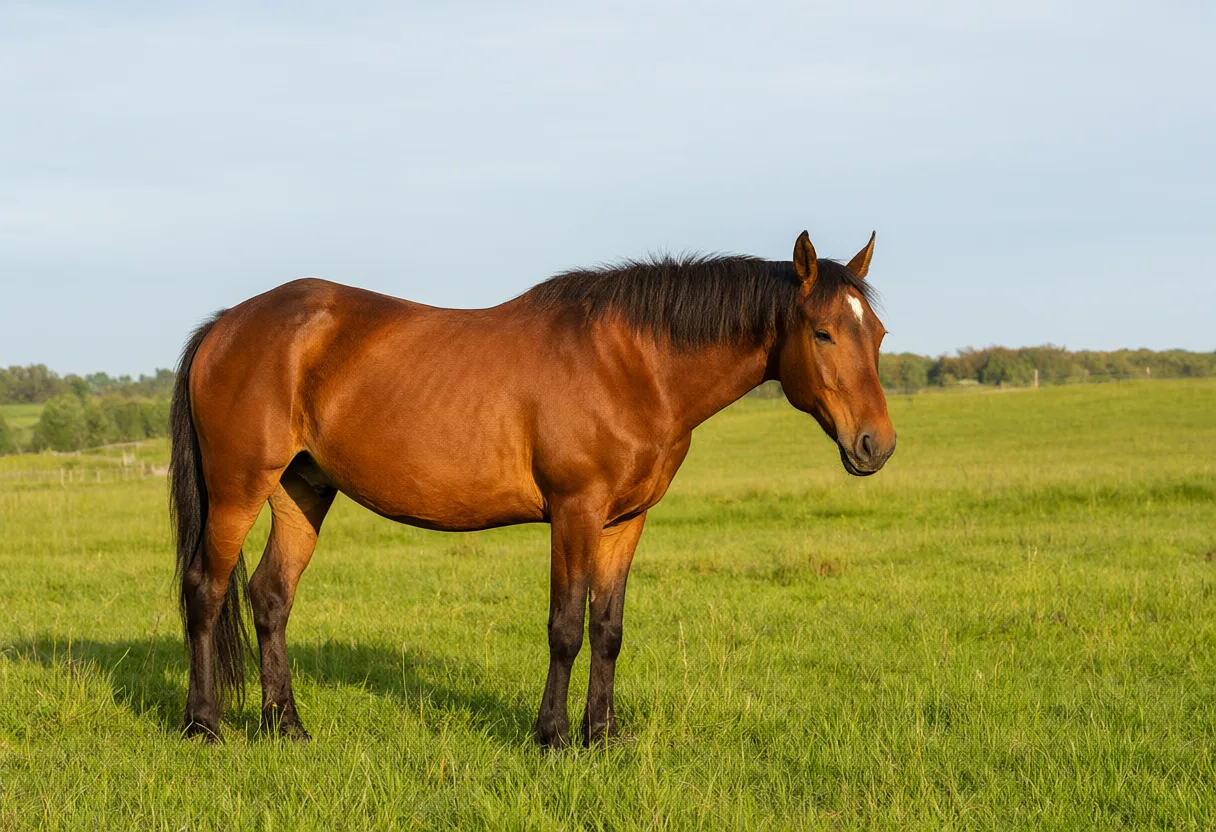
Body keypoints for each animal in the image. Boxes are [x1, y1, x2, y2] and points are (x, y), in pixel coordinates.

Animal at [168, 229, 896, 745]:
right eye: (823, 332)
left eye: (879, 333)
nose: (876, 445)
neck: (633, 365)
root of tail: (226, 324)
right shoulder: (575, 512)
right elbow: (566, 627)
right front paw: (552, 737)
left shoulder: (624, 521)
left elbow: (608, 627)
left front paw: (603, 736)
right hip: (238, 488)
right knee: (207, 589)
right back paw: (203, 724)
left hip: (301, 490)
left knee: (270, 596)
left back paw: (285, 726)